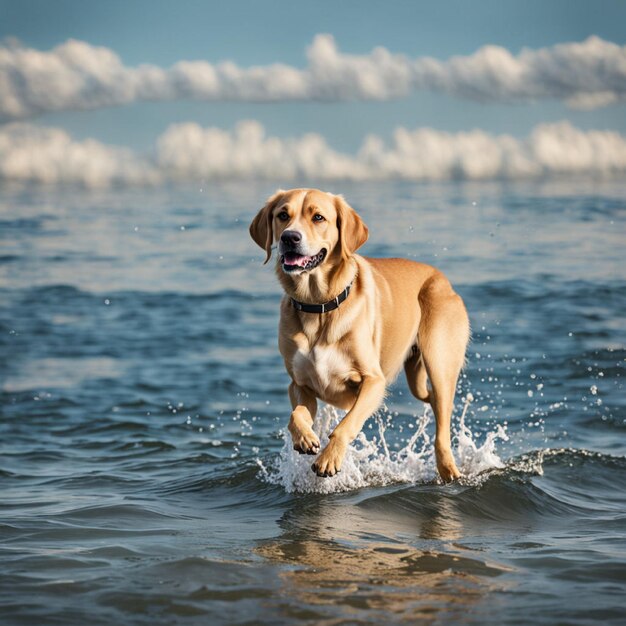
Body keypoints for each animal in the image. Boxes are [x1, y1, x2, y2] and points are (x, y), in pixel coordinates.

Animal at [249, 188, 468, 480]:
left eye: (318, 217)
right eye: (283, 215)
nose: (289, 237)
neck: (319, 307)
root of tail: (442, 278)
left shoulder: (374, 382)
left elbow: (346, 424)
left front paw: (329, 458)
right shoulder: (300, 384)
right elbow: (296, 415)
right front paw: (305, 438)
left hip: (440, 362)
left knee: (441, 426)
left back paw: (449, 470)